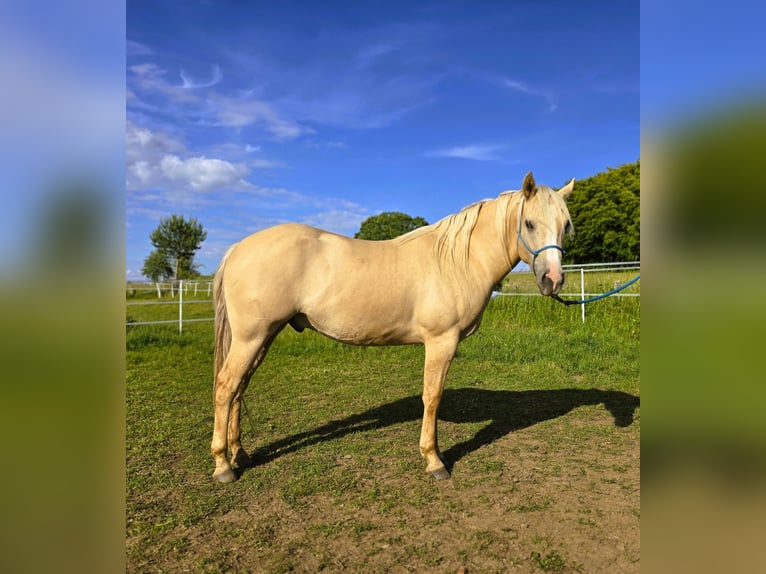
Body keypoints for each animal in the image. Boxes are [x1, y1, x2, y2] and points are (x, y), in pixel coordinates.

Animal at [211, 171, 574, 483]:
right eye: (529, 223)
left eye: (565, 225)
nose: (553, 280)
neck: (458, 261)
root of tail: (238, 248)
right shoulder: (441, 342)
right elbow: (432, 396)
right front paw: (434, 460)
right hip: (251, 337)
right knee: (226, 387)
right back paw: (223, 465)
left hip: (263, 337)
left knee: (239, 388)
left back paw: (240, 453)